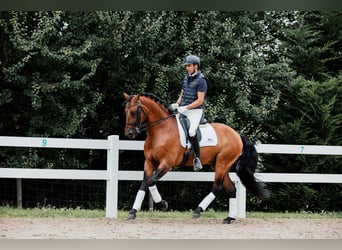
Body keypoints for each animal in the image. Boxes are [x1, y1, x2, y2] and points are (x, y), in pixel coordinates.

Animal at [123, 92, 270, 225]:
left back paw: (198, 210)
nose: (129, 133)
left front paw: (162, 204)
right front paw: (133, 212)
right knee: (231, 189)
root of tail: (237, 134)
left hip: (222, 164)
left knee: (217, 186)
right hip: (219, 164)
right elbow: (144, 183)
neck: (161, 130)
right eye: (126, 111)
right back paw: (229, 218)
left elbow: (151, 181)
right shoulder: (149, 162)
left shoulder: (167, 163)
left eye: (134, 112)